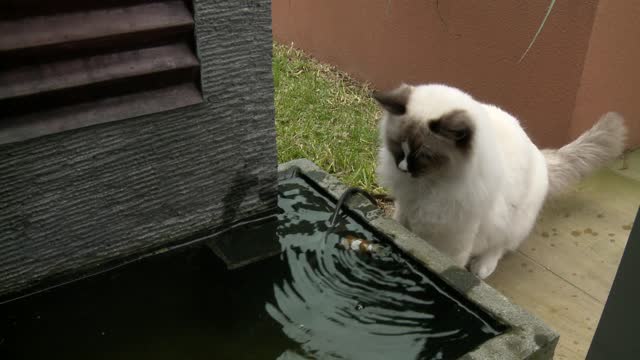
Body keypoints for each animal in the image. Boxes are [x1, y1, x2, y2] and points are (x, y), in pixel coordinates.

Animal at [376, 83, 624, 278]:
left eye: (423, 156)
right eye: (398, 147)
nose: (403, 168)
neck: (430, 184)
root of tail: (540, 157)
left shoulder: (455, 232)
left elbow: (447, 260)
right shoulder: (406, 208)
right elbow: (402, 231)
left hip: (509, 223)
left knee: (500, 247)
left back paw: (482, 268)